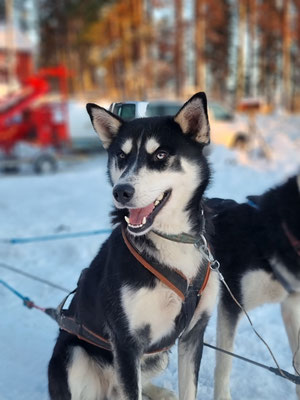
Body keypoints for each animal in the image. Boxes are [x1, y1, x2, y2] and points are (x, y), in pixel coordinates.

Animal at [48, 93, 219, 400]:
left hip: (156, 358)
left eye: (160, 155)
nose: (121, 192)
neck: (170, 238)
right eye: (122, 156)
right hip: (74, 356)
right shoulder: (126, 342)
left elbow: (188, 389)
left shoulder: (193, 335)